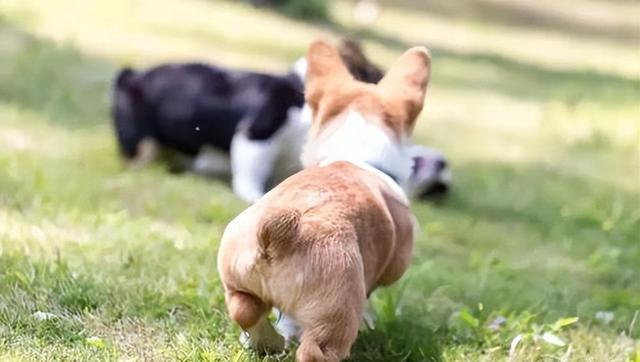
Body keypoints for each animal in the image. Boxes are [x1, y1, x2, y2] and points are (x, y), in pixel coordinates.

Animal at [111, 41, 450, 204]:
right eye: (376, 76)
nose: (442, 163)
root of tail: (131, 75)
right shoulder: (257, 133)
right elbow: (251, 171)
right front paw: (253, 195)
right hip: (139, 137)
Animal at [218, 40, 432, 362]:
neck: (356, 152)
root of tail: (281, 232)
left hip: (237, 281)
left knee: (245, 309)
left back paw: (267, 341)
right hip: (334, 315)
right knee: (315, 350)